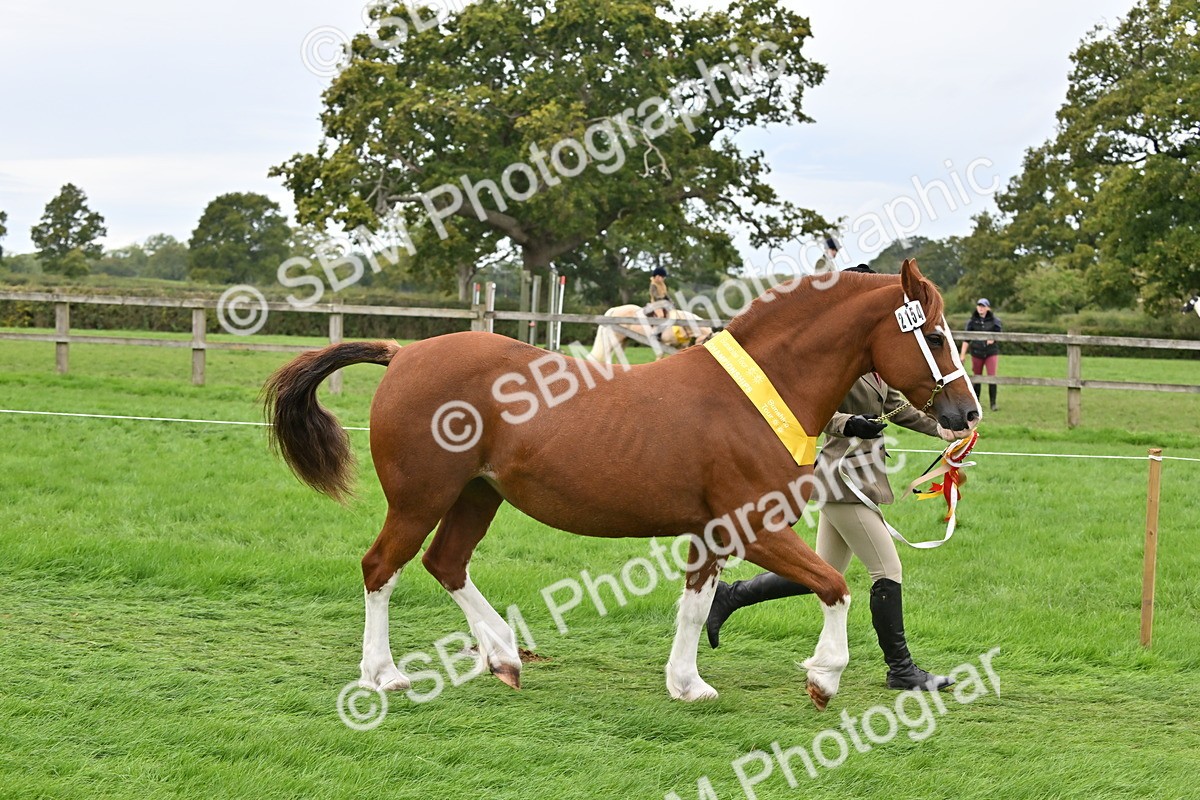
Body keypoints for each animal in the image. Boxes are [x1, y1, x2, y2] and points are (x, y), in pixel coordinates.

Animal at [263, 259, 980, 711]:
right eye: (934, 334)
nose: (966, 413)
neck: (755, 394)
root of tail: (404, 353)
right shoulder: (755, 527)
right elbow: (834, 587)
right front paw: (823, 678)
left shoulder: (710, 533)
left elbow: (695, 603)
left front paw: (687, 684)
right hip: (420, 498)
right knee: (381, 567)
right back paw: (385, 675)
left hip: (477, 495)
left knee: (446, 563)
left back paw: (503, 656)